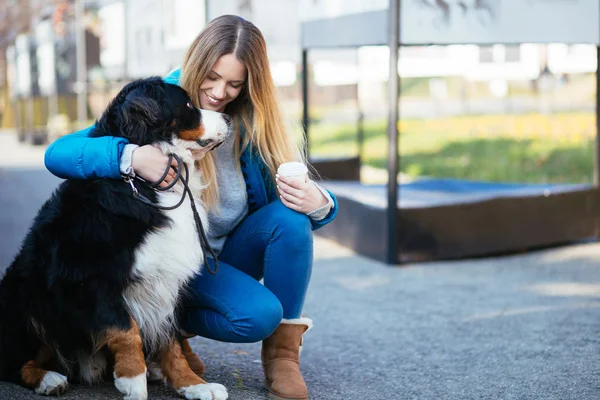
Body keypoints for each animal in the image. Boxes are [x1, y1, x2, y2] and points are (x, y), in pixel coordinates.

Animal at [0, 76, 230, 398]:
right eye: (186, 104)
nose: (229, 118)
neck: (143, 184)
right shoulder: (89, 276)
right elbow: (125, 329)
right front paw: (133, 379)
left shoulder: (166, 280)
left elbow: (170, 340)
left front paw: (193, 384)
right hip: (26, 299)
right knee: (15, 362)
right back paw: (50, 379)